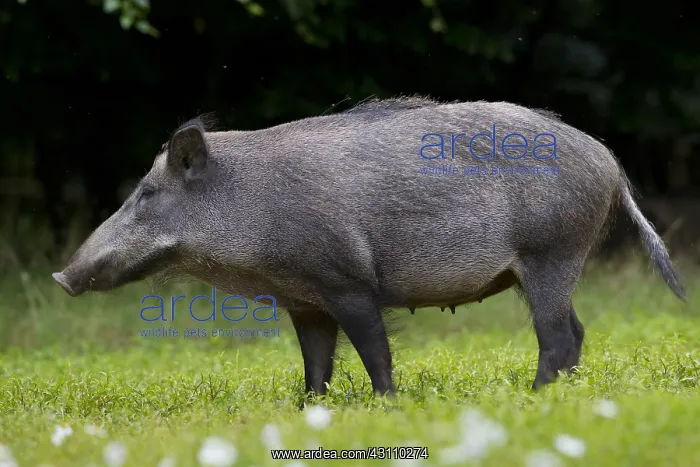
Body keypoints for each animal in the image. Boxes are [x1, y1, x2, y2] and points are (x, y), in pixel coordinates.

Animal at [53, 96, 686, 397]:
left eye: (147, 193)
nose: (62, 276)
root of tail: (610, 164)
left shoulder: (347, 281)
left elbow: (375, 351)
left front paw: (386, 403)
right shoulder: (304, 301)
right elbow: (316, 364)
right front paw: (307, 409)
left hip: (552, 251)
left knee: (557, 335)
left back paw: (534, 396)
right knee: (576, 332)